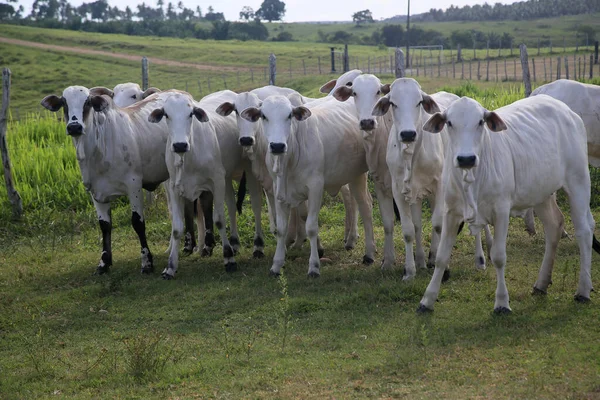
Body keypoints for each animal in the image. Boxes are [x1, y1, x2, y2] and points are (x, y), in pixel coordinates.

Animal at [41, 86, 172, 276]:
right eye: (64, 102)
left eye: (87, 102)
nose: (74, 127)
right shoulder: (95, 192)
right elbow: (104, 225)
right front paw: (104, 262)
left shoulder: (134, 185)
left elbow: (138, 223)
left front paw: (147, 262)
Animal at [148, 90, 237, 278]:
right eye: (166, 114)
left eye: (190, 114)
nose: (180, 145)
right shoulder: (174, 188)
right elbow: (177, 228)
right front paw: (170, 266)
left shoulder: (218, 181)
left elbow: (220, 220)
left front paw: (229, 258)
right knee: (206, 207)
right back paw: (207, 246)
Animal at [240, 94, 376, 276]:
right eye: (264, 116)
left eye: (289, 115)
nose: (277, 146)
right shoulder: (278, 191)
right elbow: (281, 229)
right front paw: (276, 265)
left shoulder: (315, 188)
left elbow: (311, 227)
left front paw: (314, 266)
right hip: (350, 175)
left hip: (360, 174)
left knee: (365, 206)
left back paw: (369, 253)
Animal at [418, 95, 596, 314]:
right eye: (449, 123)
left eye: (480, 122)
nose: (466, 159)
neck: (472, 179)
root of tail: (566, 110)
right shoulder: (450, 212)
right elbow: (442, 257)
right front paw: (427, 300)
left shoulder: (501, 211)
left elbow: (498, 256)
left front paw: (502, 302)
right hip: (541, 193)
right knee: (554, 226)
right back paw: (541, 283)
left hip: (578, 181)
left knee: (584, 231)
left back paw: (583, 290)